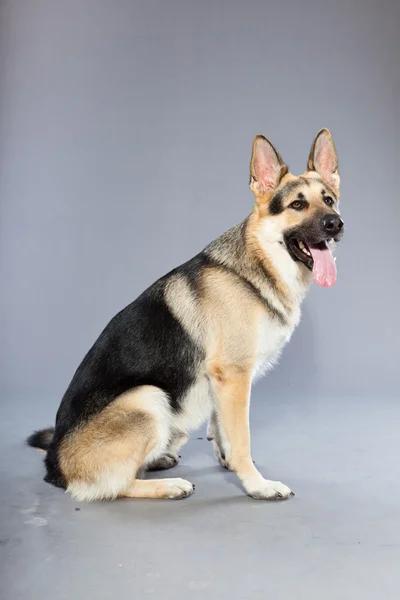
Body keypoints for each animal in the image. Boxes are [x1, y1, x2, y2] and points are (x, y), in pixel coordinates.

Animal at [27, 130, 344, 502]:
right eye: (297, 205)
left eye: (329, 200)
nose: (336, 224)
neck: (257, 267)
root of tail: (54, 463)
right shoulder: (234, 377)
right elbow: (242, 439)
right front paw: (257, 485)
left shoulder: (224, 384)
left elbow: (222, 431)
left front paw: (228, 463)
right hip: (149, 397)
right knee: (111, 486)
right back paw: (167, 486)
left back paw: (159, 460)